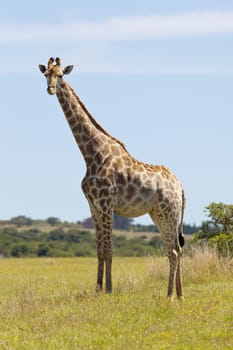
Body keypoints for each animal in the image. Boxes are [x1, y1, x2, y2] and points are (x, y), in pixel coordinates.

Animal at [39, 58, 186, 300]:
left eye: (60, 75)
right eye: (46, 74)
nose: (50, 89)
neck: (91, 154)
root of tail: (181, 187)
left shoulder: (107, 204)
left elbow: (109, 250)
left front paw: (108, 289)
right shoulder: (94, 207)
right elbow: (99, 251)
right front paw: (98, 289)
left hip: (169, 213)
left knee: (173, 251)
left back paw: (169, 295)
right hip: (159, 214)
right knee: (177, 249)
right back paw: (180, 294)